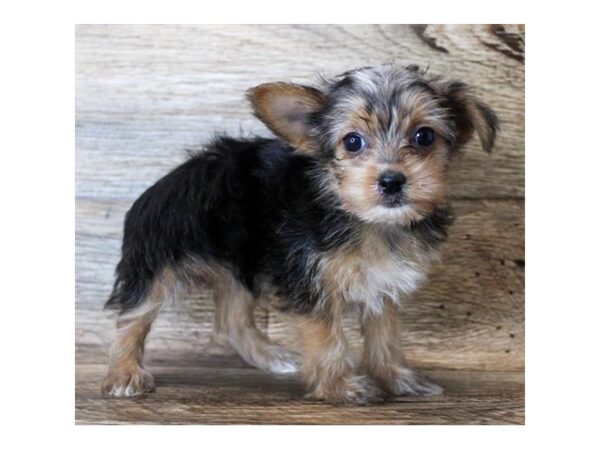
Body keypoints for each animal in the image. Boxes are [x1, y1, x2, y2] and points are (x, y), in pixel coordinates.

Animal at [102, 64, 496, 404]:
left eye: (424, 136)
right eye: (352, 142)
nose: (391, 181)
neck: (363, 219)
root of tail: (170, 180)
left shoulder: (381, 283)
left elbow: (384, 335)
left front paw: (397, 378)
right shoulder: (308, 280)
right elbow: (328, 336)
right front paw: (341, 387)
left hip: (239, 267)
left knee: (232, 320)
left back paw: (270, 356)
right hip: (157, 255)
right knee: (134, 313)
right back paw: (124, 373)